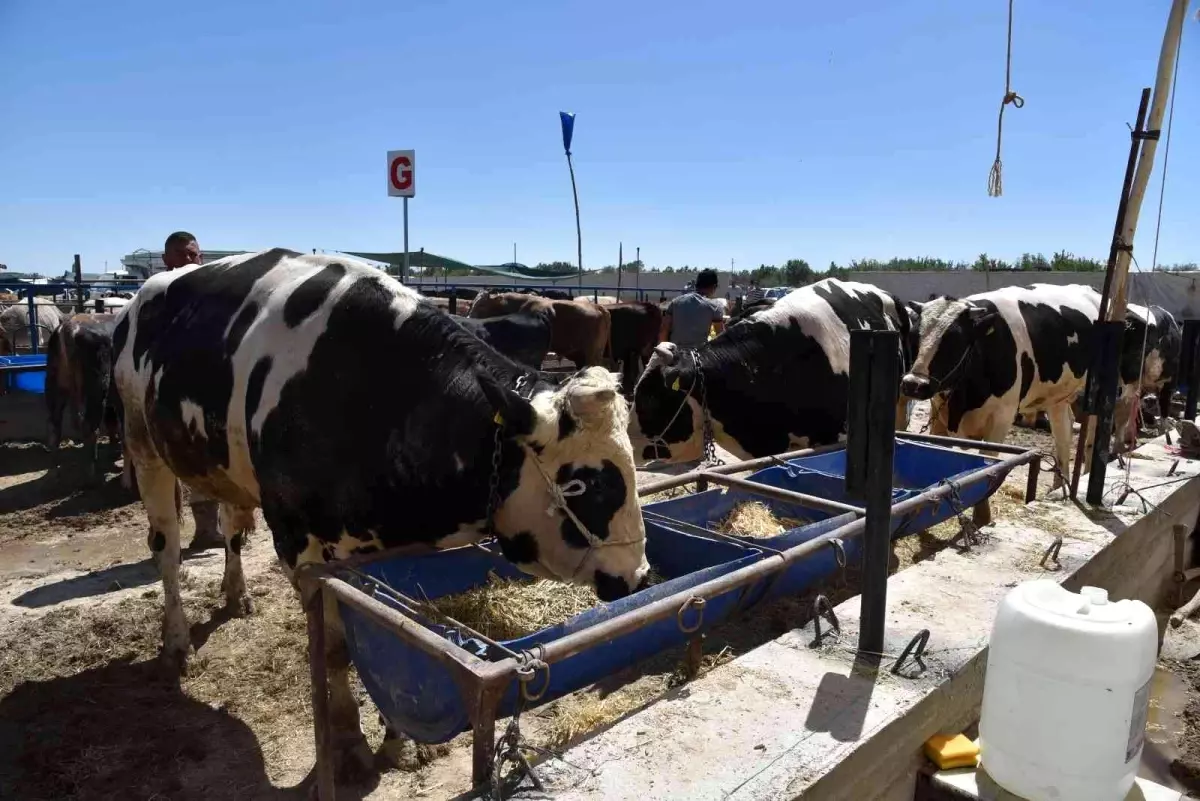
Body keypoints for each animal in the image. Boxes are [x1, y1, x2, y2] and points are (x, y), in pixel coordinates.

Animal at [902, 282, 1104, 501]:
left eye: (954, 340)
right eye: (914, 335)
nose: (913, 384)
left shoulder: (1002, 417)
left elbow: (989, 464)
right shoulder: (939, 414)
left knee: (1093, 436)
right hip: (1057, 397)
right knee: (1063, 432)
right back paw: (1059, 488)